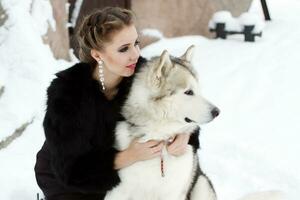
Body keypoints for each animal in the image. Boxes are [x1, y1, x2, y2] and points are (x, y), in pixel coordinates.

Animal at [104, 45, 219, 200]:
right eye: (189, 92)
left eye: (199, 91)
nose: (217, 112)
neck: (160, 138)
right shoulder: (118, 191)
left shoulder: (173, 192)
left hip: (201, 185)